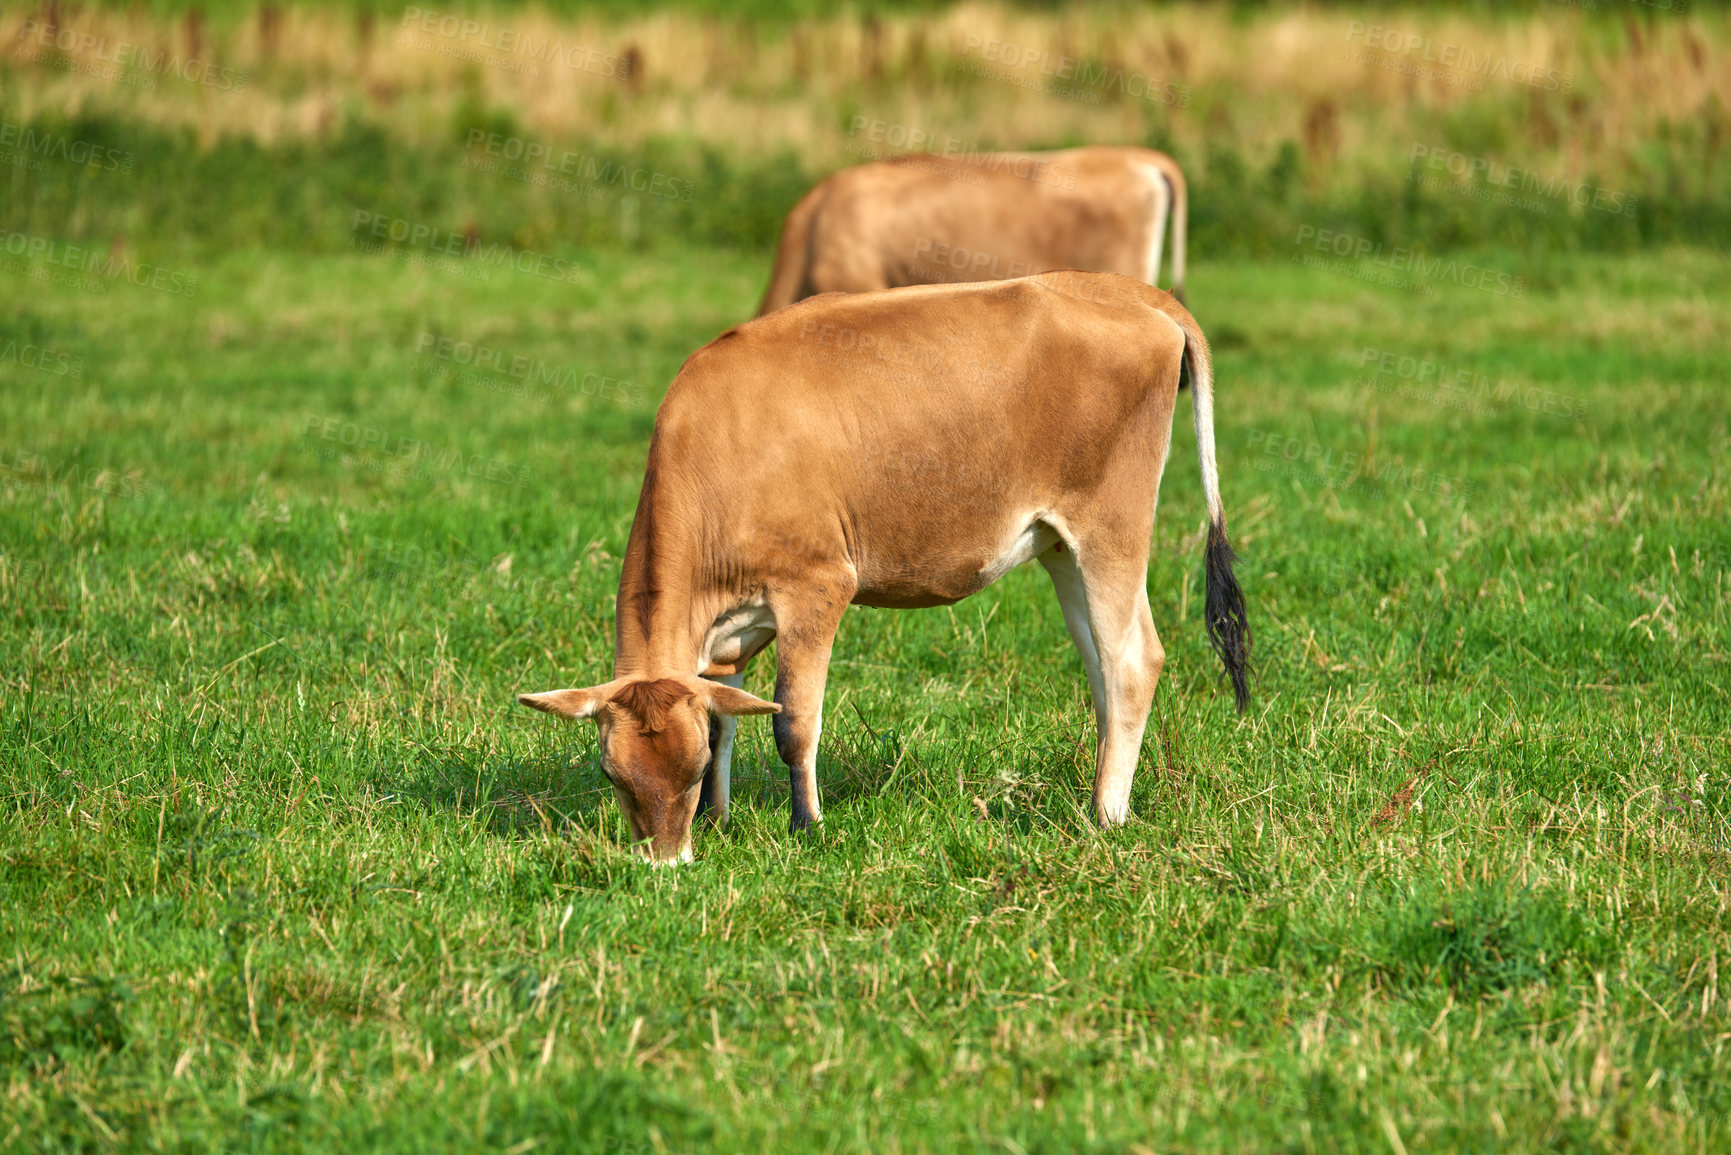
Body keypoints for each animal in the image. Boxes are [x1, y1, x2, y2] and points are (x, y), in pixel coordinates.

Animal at [512, 273, 1246, 865]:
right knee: (1101, 665)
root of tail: (1127, 290)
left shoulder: (815, 587)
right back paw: (1096, 793)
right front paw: (719, 822)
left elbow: (792, 721)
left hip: (1111, 525)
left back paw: (1106, 816)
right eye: (613, 775)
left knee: (1133, 660)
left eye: (688, 773)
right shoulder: (728, 633)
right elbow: (727, 715)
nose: (665, 862)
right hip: (1061, 546)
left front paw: (806, 824)